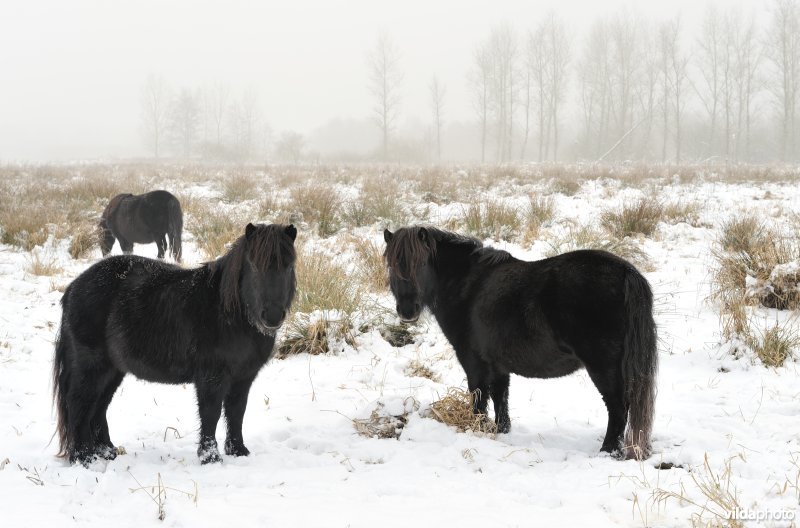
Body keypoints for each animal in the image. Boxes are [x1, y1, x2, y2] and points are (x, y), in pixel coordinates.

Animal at [53, 223, 296, 466]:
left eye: (289, 265)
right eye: (254, 265)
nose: (272, 316)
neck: (227, 313)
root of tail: (74, 287)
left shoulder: (244, 378)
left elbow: (236, 413)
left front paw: (238, 451)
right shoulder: (211, 377)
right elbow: (211, 414)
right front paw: (210, 458)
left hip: (113, 371)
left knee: (98, 407)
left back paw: (106, 452)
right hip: (92, 368)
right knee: (79, 405)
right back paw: (84, 458)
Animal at [384, 226, 660, 458]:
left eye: (420, 264)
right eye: (392, 265)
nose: (407, 311)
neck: (467, 284)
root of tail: (626, 272)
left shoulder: (473, 361)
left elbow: (479, 398)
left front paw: (477, 429)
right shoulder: (498, 364)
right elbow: (500, 398)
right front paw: (501, 431)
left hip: (604, 368)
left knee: (618, 409)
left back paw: (607, 451)